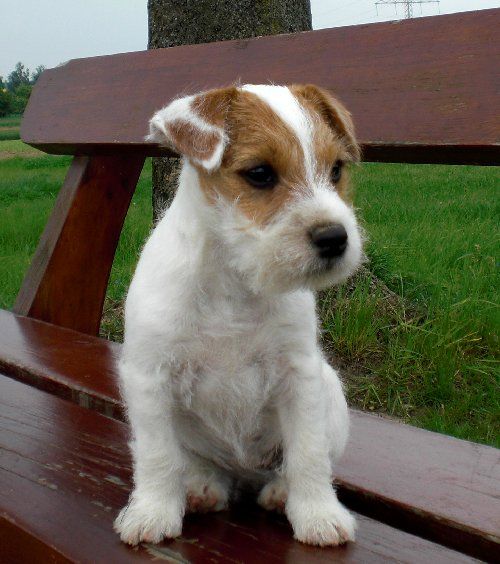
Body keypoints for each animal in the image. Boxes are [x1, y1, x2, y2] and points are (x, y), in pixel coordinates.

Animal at [113, 83, 364, 548]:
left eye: (336, 169)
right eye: (261, 173)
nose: (334, 238)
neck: (234, 280)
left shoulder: (299, 376)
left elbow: (308, 452)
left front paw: (318, 514)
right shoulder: (150, 377)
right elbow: (157, 456)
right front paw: (153, 512)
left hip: (330, 393)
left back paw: (281, 491)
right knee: (194, 462)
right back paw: (200, 486)